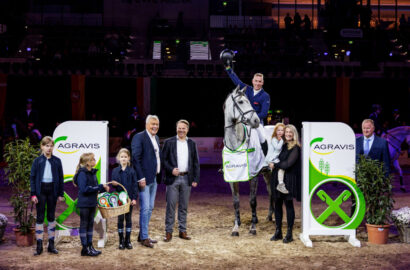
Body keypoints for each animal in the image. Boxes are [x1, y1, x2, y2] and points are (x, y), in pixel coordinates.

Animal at [224, 85, 266, 236]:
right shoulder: (231, 177)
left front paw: (252, 228)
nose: (256, 121)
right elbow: (236, 201)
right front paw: (236, 227)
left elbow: (252, 201)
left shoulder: (253, 175)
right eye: (241, 102)